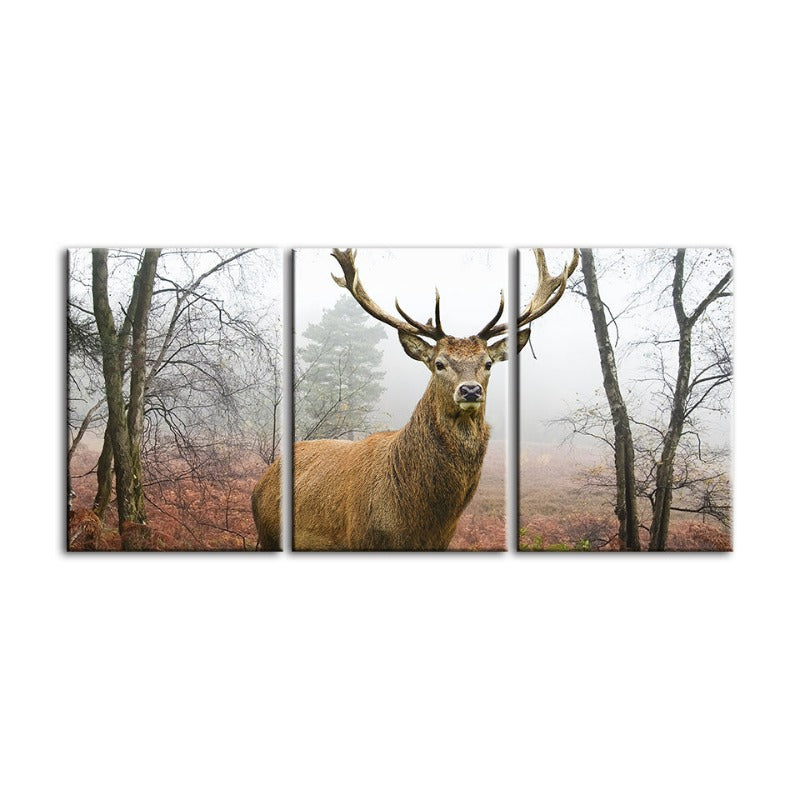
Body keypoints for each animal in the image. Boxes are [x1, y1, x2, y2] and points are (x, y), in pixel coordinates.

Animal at [252, 248, 579, 551]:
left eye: (488, 363)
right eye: (439, 363)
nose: (470, 390)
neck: (417, 521)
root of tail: (262, 480)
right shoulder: (360, 538)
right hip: (268, 535)